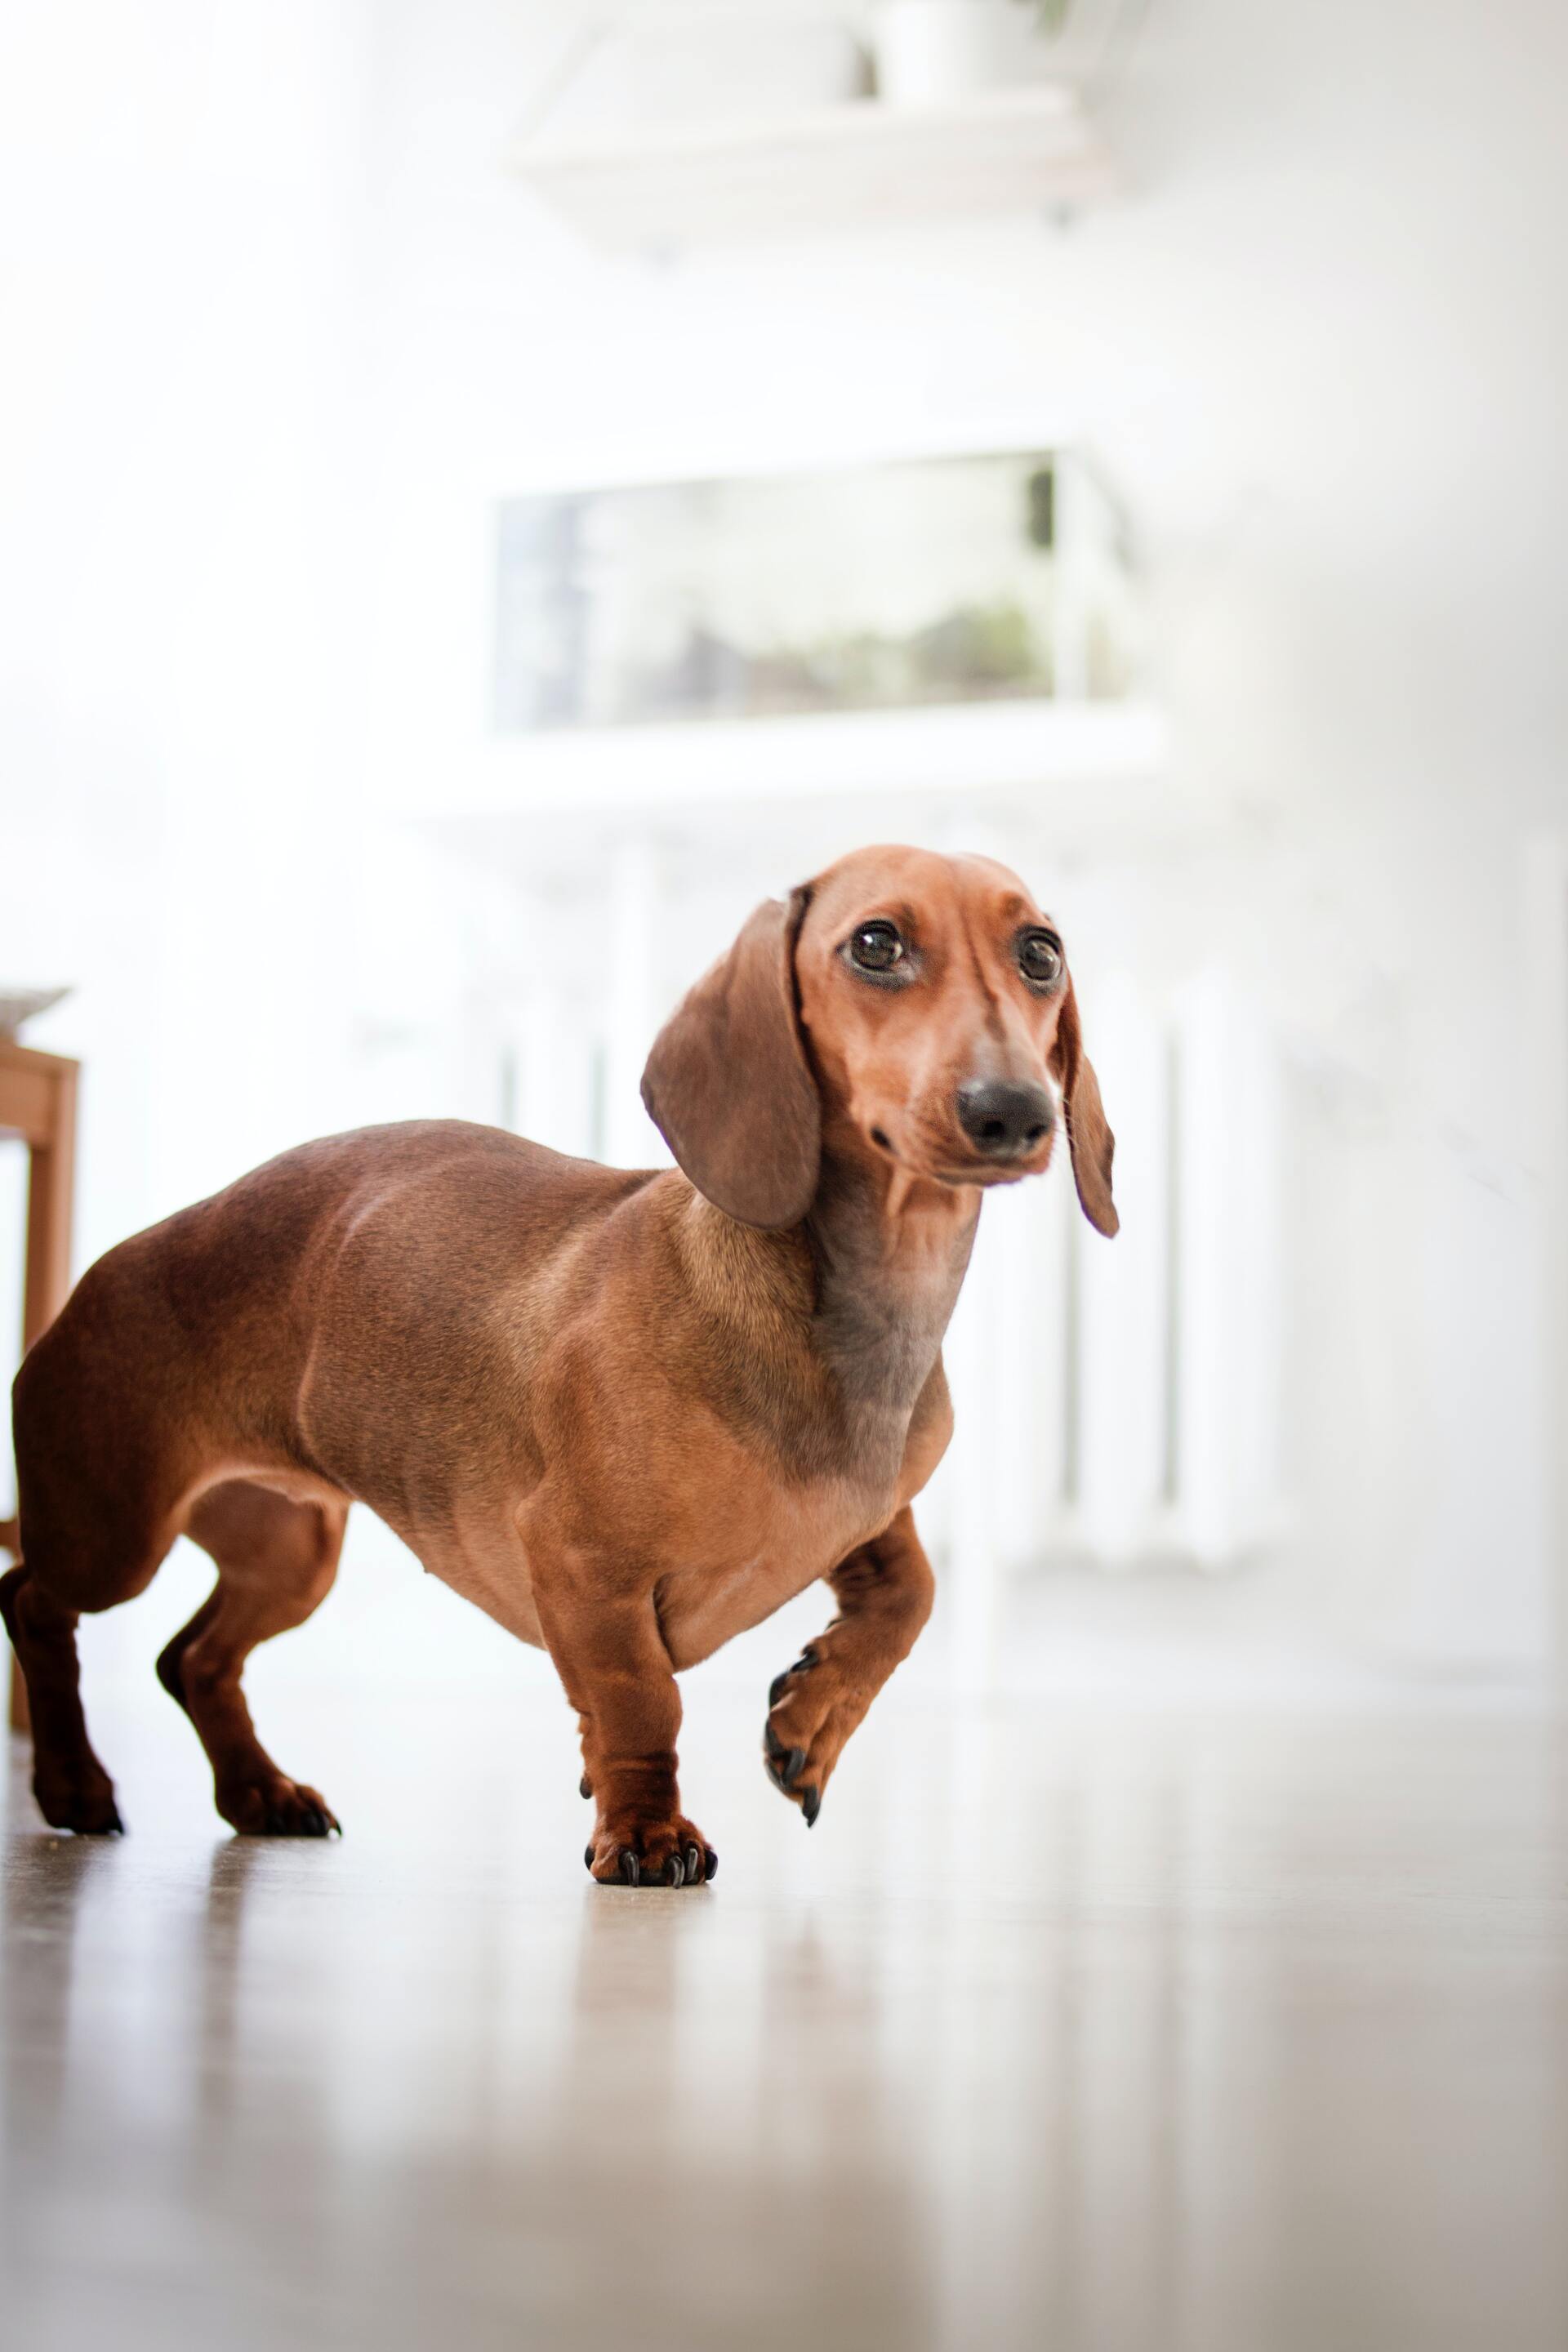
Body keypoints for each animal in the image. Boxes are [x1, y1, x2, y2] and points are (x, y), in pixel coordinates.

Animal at [0, 842, 1114, 1872]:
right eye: (876, 944)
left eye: (1040, 952)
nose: (1014, 1112)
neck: (853, 1319)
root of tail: (118, 1259)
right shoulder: (581, 1563)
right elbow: (641, 1700)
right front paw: (646, 1830)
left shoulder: (867, 1521)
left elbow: (912, 1595)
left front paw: (810, 1722)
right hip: (113, 1530)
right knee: (32, 1596)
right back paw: (74, 1784)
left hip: (291, 1551)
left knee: (191, 1660)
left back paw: (259, 1793)